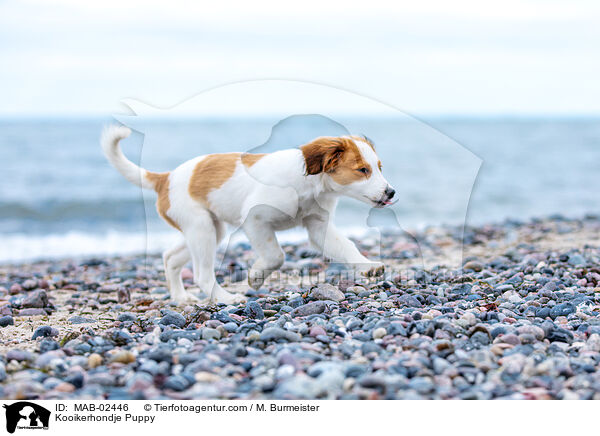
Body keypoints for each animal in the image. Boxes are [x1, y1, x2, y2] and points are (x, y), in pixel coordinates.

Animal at [101, 126, 396, 304]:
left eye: (380, 167)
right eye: (362, 170)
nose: (391, 192)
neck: (309, 184)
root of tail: (165, 178)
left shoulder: (318, 227)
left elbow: (346, 246)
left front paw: (367, 265)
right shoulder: (255, 220)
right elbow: (276, 256)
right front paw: (255, 277)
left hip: (209, 228)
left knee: (170, 258)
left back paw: (181, 298)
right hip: (201, 228)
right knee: (202, 274)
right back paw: (226, 299)